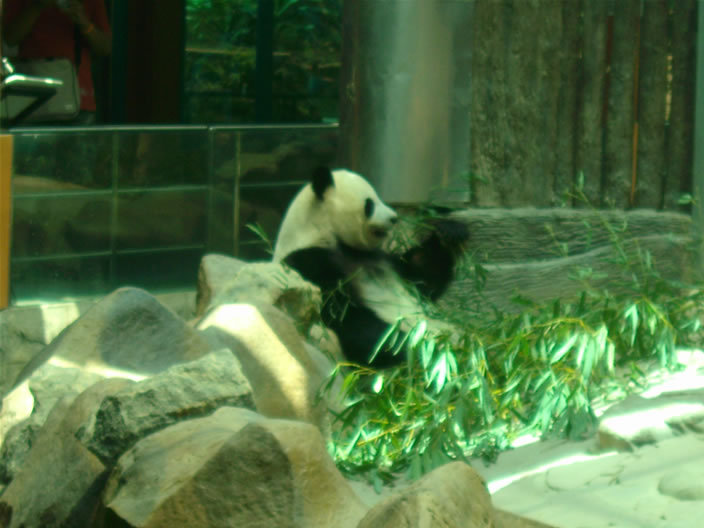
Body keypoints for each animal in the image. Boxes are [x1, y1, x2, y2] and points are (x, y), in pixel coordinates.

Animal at [273, 166, 468, 368]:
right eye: (370, 203)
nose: (394, 218)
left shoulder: (383, 260)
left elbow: (422, 278)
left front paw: (449, 232)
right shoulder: (309, 262)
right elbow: (347, 317)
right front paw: (421, 349)